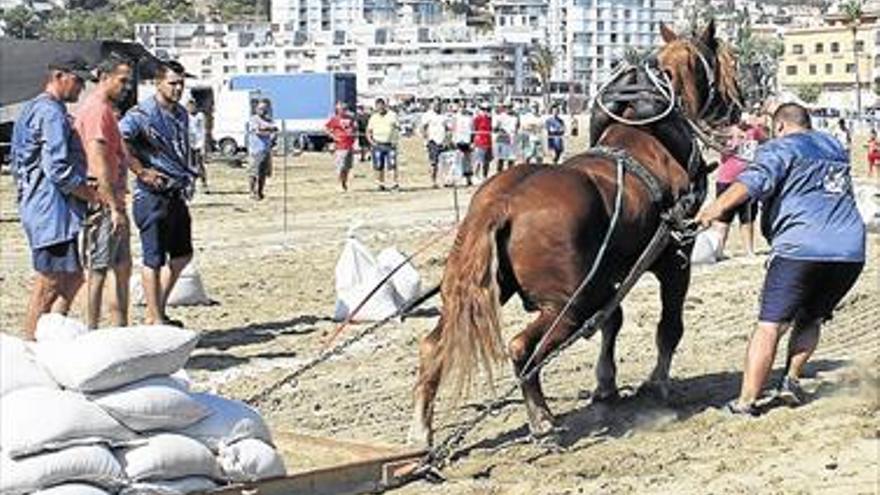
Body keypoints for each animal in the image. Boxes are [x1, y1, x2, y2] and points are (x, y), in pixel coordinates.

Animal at [410, 19, 740, 448]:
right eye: (726, 61)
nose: (740, 103)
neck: (653, 135)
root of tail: (503, 203)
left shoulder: (608, 271)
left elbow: (612, 321)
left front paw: (605, 385)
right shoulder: (674, 255)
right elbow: (669, 327)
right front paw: (656, 383)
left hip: (475, 291)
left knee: (433, 347)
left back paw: (422, 429)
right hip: (567, 305)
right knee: (521, 348)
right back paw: (542, 420)